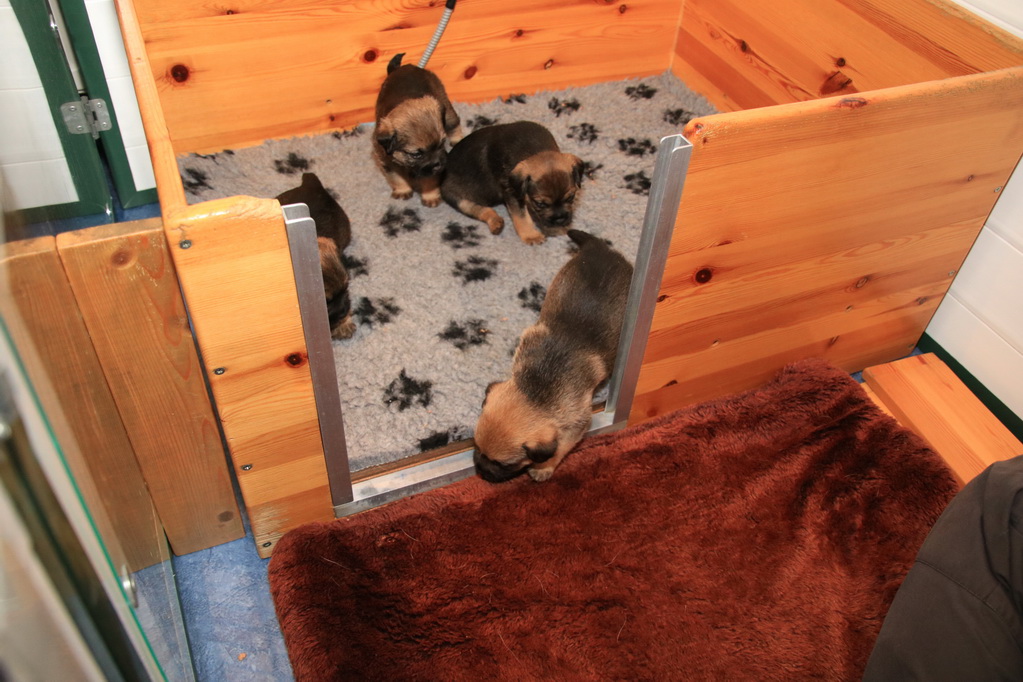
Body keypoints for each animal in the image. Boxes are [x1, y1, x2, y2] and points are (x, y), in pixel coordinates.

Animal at [373, 53, 463, 207]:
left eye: (441, 144)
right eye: (416, 154)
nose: (440, 164)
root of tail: (404, 67)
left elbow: (429, 179)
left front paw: (430, 195)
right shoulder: (386, 161)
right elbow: (396, 177)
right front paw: (402, 190)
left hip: (446, 108)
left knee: (454, 123)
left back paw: (457, 139)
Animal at [440, 120, 584, 245]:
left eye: (571, 197)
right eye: (540, 204)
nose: (560, 219)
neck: (535, 151)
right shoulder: (513, 194)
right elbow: (521, 217)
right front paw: (531, 235)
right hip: (459, 200)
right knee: (480, 209)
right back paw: (495, 222)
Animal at [473, 229, 633, 483]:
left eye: (504, 464)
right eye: (476, 448)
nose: (480, 470)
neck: (535, 390)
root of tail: (600, 248)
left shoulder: (577, 424)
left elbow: (560, 448)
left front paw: (544, 467)